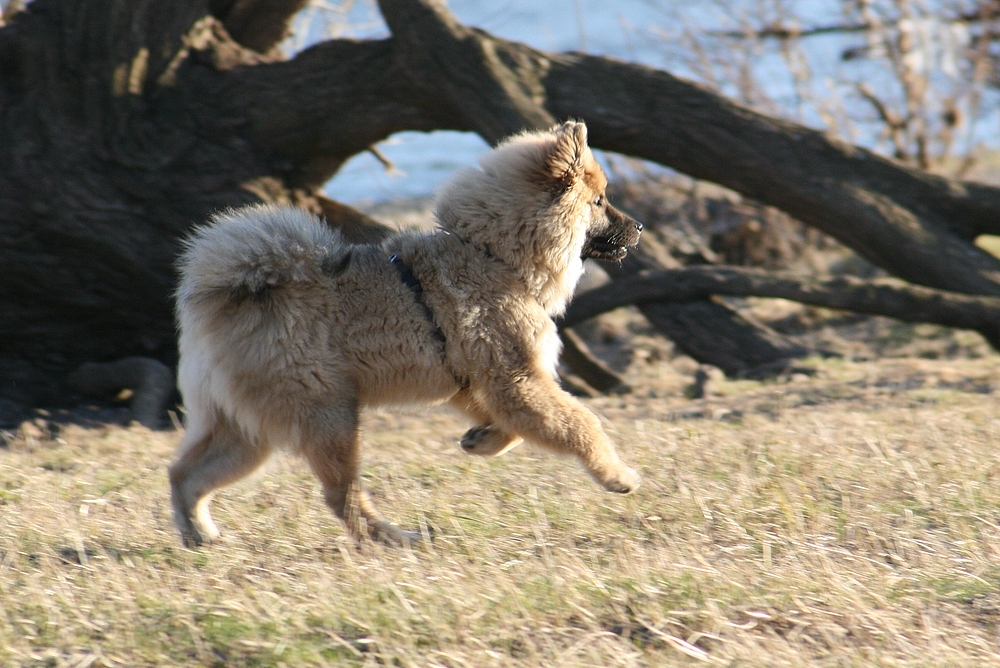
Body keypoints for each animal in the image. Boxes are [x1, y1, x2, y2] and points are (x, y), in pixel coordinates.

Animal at [170, 121, 640, 548]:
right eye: (599, 201)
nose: (637, 227)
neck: (492, 254)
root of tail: (228, 299)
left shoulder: (475, 382)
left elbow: (515, 427)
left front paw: (482, 440)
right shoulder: (516, 379)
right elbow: (582, 423)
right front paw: (619, 476)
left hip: (247, 430)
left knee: (184, 474)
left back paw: (199, 535)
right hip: (329, 418)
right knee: (342, 494)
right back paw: (396, 538)